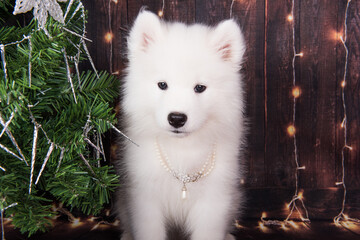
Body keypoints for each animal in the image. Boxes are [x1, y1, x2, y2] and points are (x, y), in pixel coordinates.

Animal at [116, 9, 246, 240]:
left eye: (200, 88)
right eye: (162, 85)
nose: (177, 118)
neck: (182, 149)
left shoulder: (213, 201)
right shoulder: (145, 199)